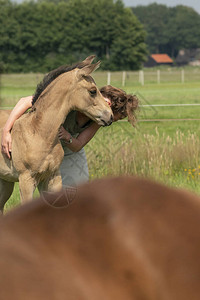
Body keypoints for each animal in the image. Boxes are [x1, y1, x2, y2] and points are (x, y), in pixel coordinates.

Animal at [0, 56, 113, 211]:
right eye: (92, 91)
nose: (110, 116)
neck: (39, 134)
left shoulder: (53, 177)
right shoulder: (26, 180)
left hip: (5, 181)